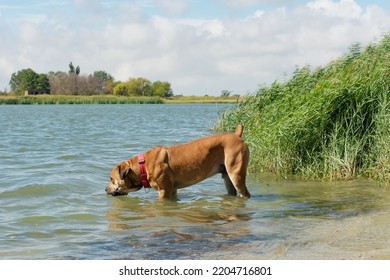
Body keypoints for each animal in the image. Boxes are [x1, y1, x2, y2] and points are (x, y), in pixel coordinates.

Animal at [106, 124, 250, 199]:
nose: (105, 189)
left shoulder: (164, 191)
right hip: (228, 178)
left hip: (236, 174)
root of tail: (236, 135)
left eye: (111, 179)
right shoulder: (173, 190)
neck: (142, 166)